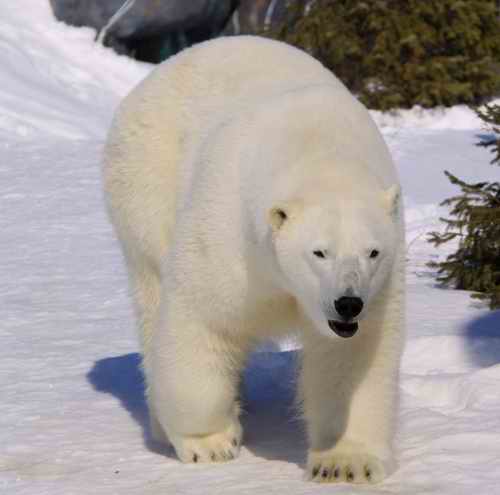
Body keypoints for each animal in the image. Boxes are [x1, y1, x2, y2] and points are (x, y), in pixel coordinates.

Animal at [103, 35, 404, 484]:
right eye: (319, 251)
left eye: (373, 251)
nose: (348, 303)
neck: (316, 145)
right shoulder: (228, 235)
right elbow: (201, 318)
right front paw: (210, 443)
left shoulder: (380, 287)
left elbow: (352, 357)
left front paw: (344, 463)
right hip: (146, 188)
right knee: (153, 297)